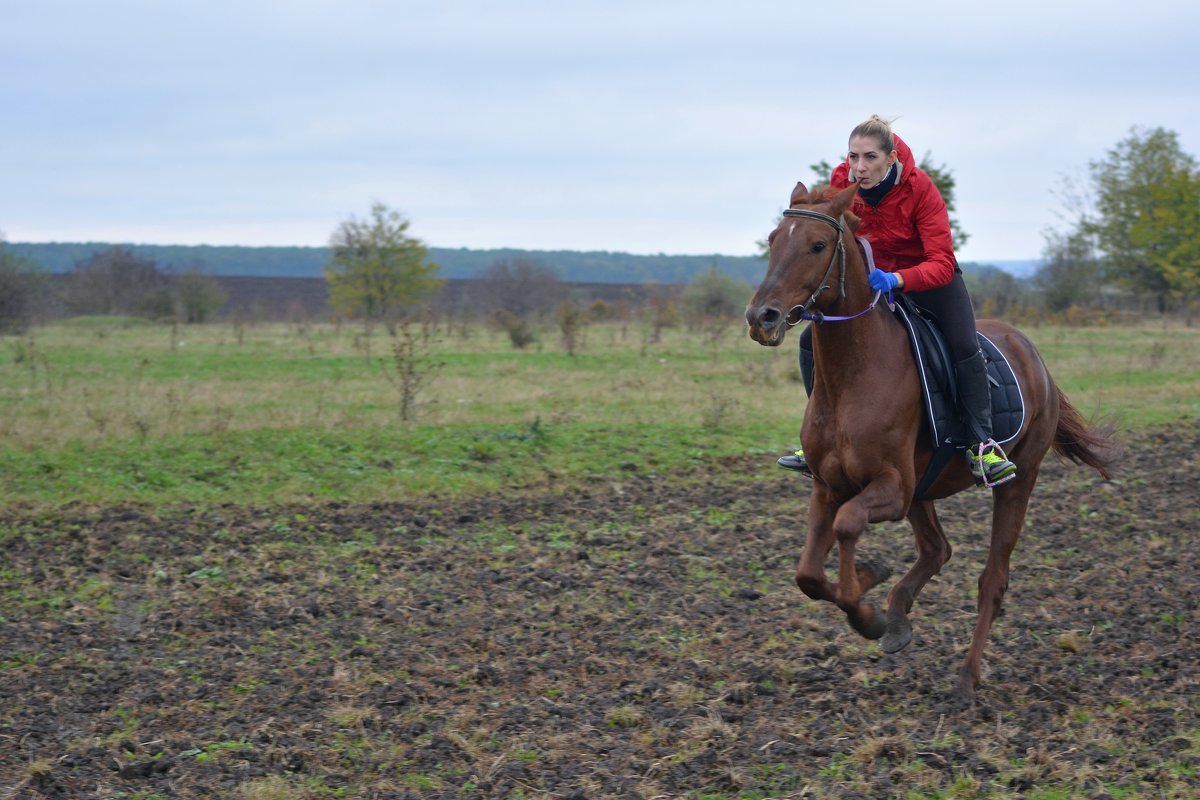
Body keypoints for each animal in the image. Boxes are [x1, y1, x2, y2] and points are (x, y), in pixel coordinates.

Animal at [744, 183, 1108, 700]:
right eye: (774, 239)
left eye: (817, 245)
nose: (763, 316)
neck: (854, 375)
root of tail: (1033, 355)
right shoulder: (827, 486)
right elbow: (809, 574)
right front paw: (872, 593)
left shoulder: (892, 488)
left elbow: (849, 525)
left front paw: (866, 606)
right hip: (925, 487)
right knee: (938, 549)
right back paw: (898, 617)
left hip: (1016, 481)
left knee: (992, 579)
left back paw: (966, 677)